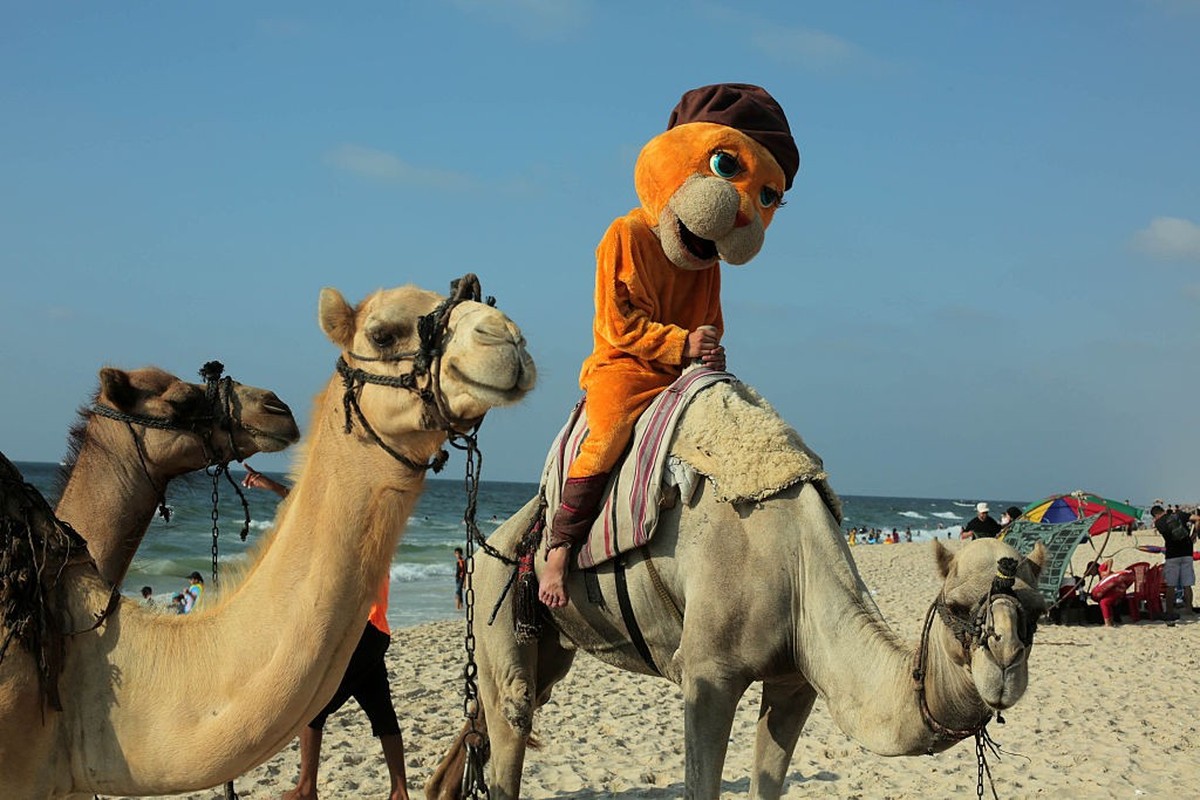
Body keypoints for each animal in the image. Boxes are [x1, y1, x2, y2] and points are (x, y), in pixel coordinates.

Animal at [426, 380, 1047, 800]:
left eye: (1037, 614)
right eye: (957, 608)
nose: (1006, 662)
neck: (800, 566)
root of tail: (489, 542)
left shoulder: (796, 682)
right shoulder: (709, 673)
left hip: (550, 646)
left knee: (494, 714)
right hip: (494, 592)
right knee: (512, 711)